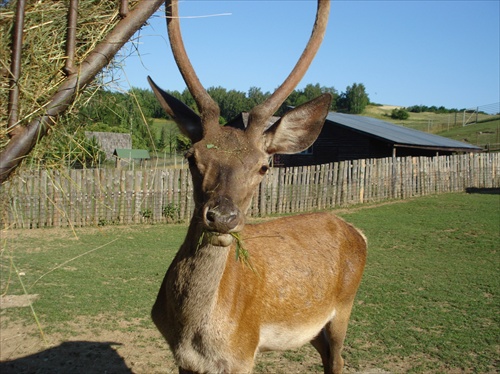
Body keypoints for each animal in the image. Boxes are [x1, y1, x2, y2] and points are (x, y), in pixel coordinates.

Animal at [148, 0, 368, 374]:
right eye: (191, 157)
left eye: (264, 166)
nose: (222, 217)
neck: (192, 335)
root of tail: (356, 230)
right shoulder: (182, 360)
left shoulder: (243, 354)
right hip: (312, 328)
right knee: (326, 355)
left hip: (345, 306)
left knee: (338, 358)